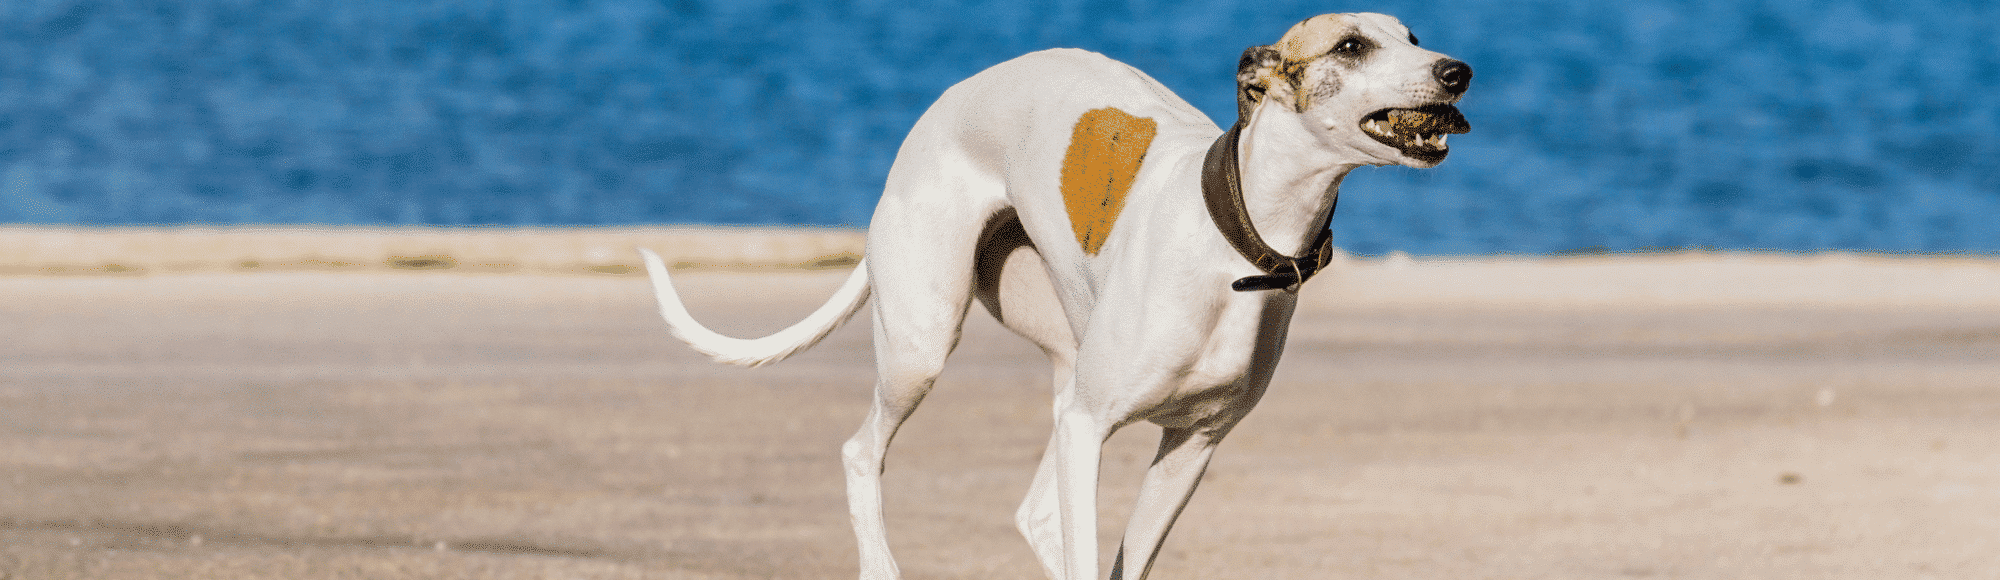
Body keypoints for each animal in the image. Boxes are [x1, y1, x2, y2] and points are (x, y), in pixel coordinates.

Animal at [640, 13, 1472, 580]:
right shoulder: (1088, 427)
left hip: (1062, 356)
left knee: (1035, 513)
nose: (1458, 70)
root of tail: (938, 111)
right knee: (861, 450)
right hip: (921, 343)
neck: (1235, 240)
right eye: (1351, 46)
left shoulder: (1191, 448)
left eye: (1414, 33)